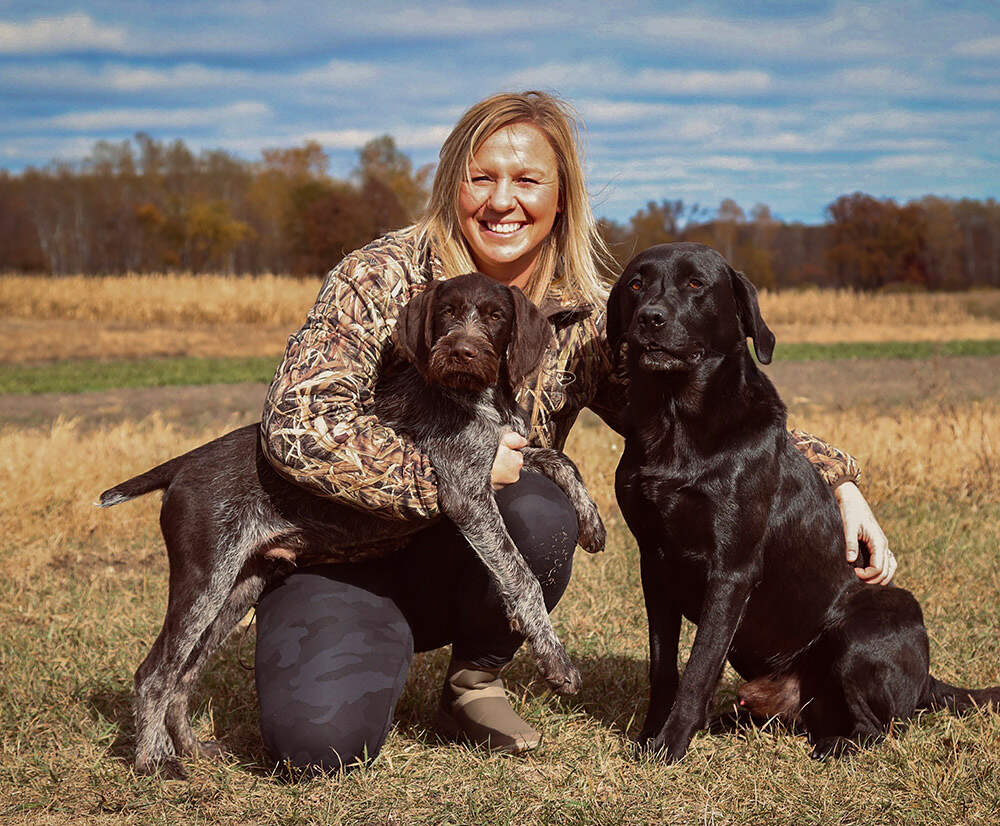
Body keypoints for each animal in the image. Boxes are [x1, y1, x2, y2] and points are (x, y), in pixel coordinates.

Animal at [101, 272, 604, 772]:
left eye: (496, 316)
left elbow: (559, 459)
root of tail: (183, 465)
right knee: (154, 674)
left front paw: (592, 522)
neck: (477, 399)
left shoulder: (508, 455)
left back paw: (192, 748)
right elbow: (521, 576)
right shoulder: (467, 493)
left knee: (184, 675)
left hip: (238, 587)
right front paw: (555, 661)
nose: (461, 351)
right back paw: (154, 761)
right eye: (447, 312)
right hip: (203, 580)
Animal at [604, 243, 996, 760]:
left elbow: (699, 667)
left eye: (695, 284)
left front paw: (670, 745)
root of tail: (928, 680)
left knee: (877, 731)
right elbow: (663, 665)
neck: (676, 421)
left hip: (871, 623)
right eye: (635, 284)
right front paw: (650, 736)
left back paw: (831, 745)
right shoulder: (654, 563)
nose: (649, 318)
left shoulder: (731, 569)